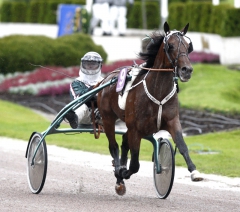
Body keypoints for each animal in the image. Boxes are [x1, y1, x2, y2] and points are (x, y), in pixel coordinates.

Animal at [97, 22, 202, 195]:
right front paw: (122, 172)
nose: (187, 70)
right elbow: (134, 164)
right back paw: (119, 173)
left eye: (188, 46)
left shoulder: (172, 120)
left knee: (124, 141)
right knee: (114, 146)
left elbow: (182, 146)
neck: (158, 91)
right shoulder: (136, 128)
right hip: (108, 118)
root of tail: (106, 78)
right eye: (170, 45)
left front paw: (195, 172)